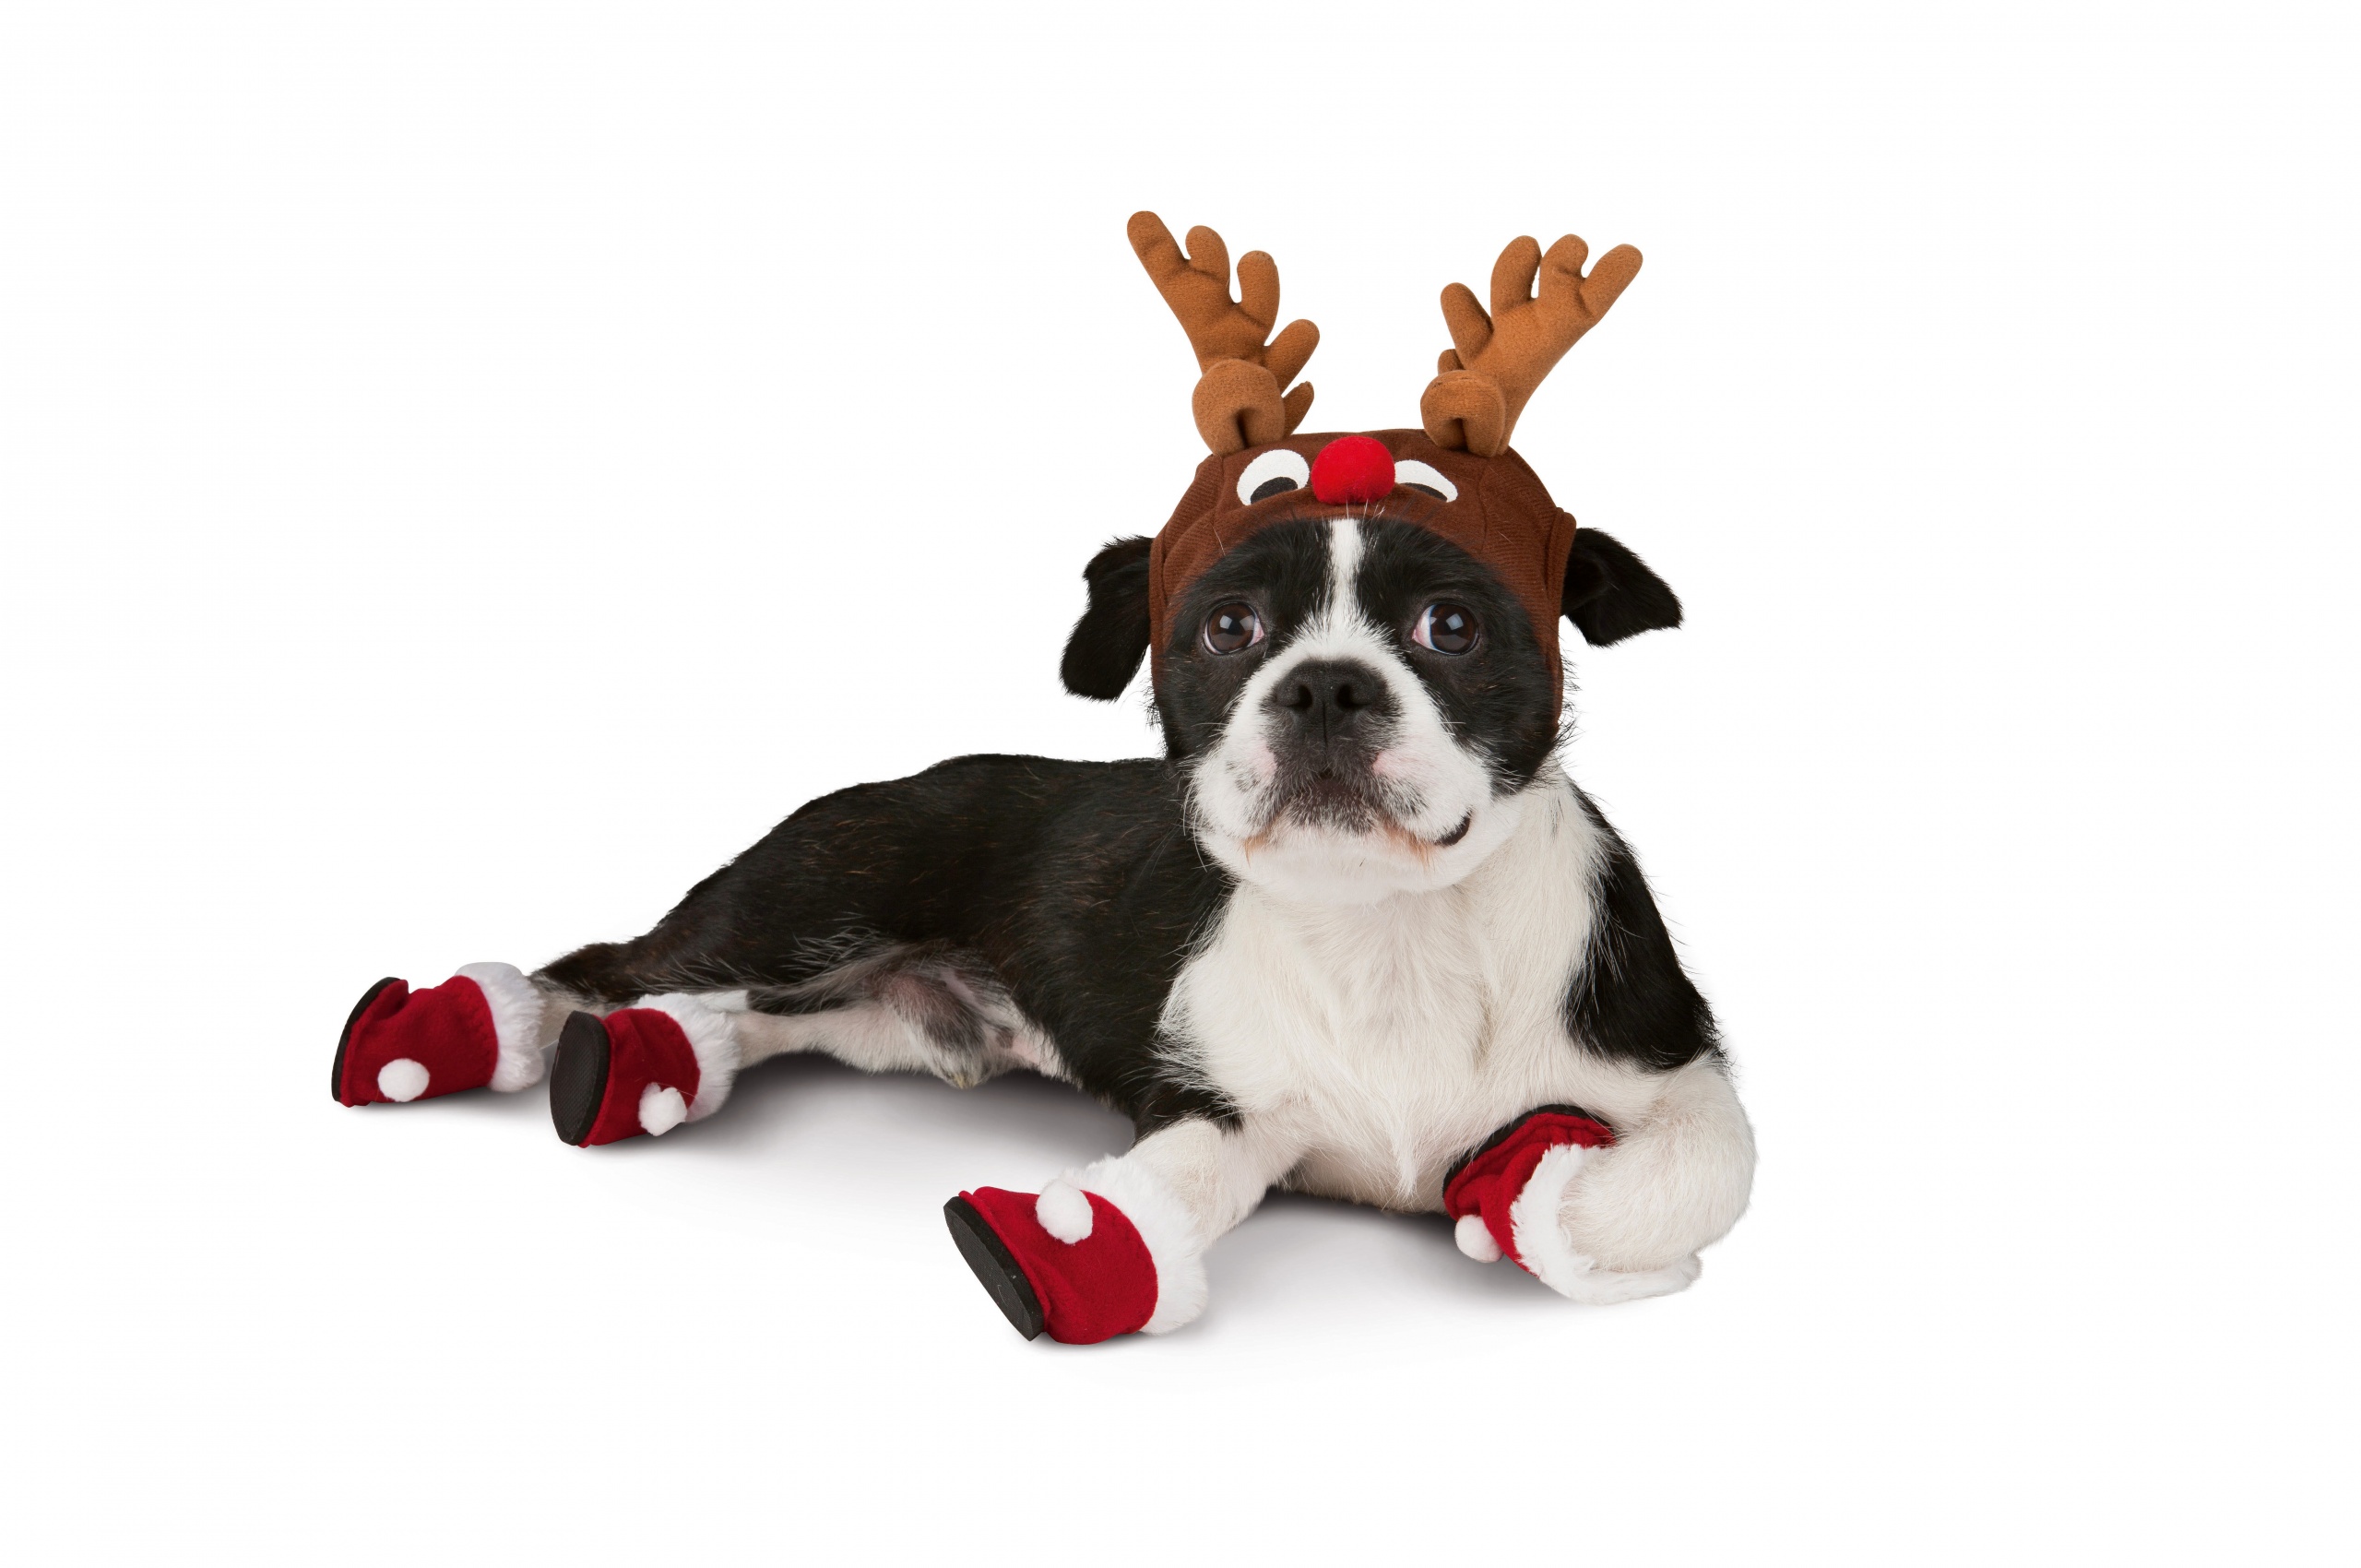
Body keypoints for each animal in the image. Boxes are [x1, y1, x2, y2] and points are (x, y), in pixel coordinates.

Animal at [327, 214, 1756, 1341]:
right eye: (1227, 628)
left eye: (1451, 626)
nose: (1325, 686)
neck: (1387, 931)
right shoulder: (1216, 1102)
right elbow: (1175, 1185)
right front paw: (1071, 1254)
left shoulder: (1678, 1065)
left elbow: (1695, 1171)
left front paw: (1518, 1202)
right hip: (795, 901)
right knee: (601, 964)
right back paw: (471, 1027)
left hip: (867, 1012)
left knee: (734, 1018)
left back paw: (653, 1063)